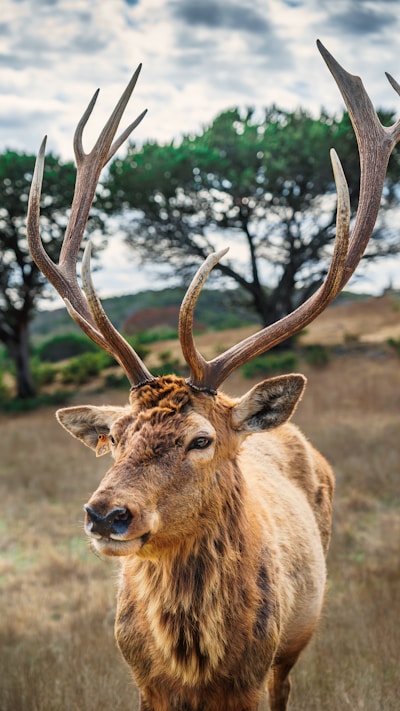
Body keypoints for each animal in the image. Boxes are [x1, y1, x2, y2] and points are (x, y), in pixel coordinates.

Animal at [27, 41, 400, 711]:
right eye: (114, 437)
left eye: (201, 439)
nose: (106, 514)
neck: (195, 665)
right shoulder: (143, 683)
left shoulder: (253, 675)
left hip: (295, 642)